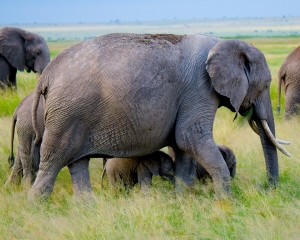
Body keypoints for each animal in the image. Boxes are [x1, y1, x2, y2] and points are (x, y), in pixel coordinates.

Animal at [29, 32, 290, 200]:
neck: (224, 43)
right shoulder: (199, 88)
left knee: (77, 164)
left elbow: (183, 148)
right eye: (266, 85)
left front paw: (182, 201)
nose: (265, 188)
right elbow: (190, 138)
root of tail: (47, 74)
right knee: (53, 162)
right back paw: (36, 207)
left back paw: (86, 208)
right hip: (67, 113)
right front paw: (227, 204)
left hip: (73, 115)